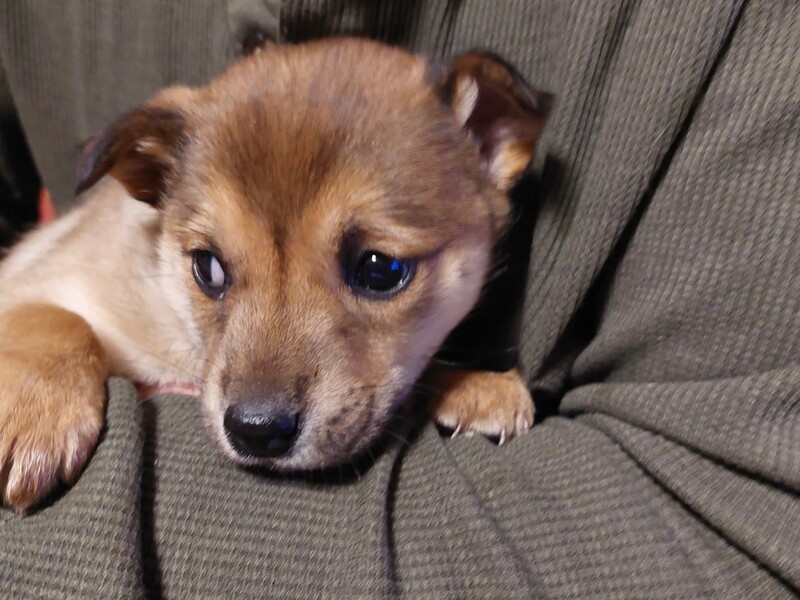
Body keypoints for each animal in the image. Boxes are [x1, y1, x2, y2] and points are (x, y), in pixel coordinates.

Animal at [0, 38, 551, 513]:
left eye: (381, 270)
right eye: (207, 267)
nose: (256, 430)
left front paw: (477, 383)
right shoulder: (37, 277)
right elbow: (57, 323)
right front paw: (29, 415)